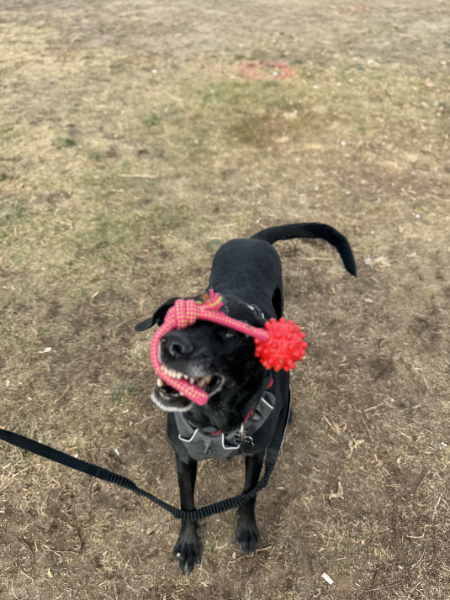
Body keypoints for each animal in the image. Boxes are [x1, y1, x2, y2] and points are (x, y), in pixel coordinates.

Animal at [134, 223, 356, 576]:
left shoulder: (256, 454)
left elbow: (248, 495)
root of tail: (253, 240)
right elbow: (187, 504)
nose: (172, 344)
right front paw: (188, 544)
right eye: (174, 317)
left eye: (228, 332)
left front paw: (247, 530)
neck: (213, 421)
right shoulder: (183, 458)